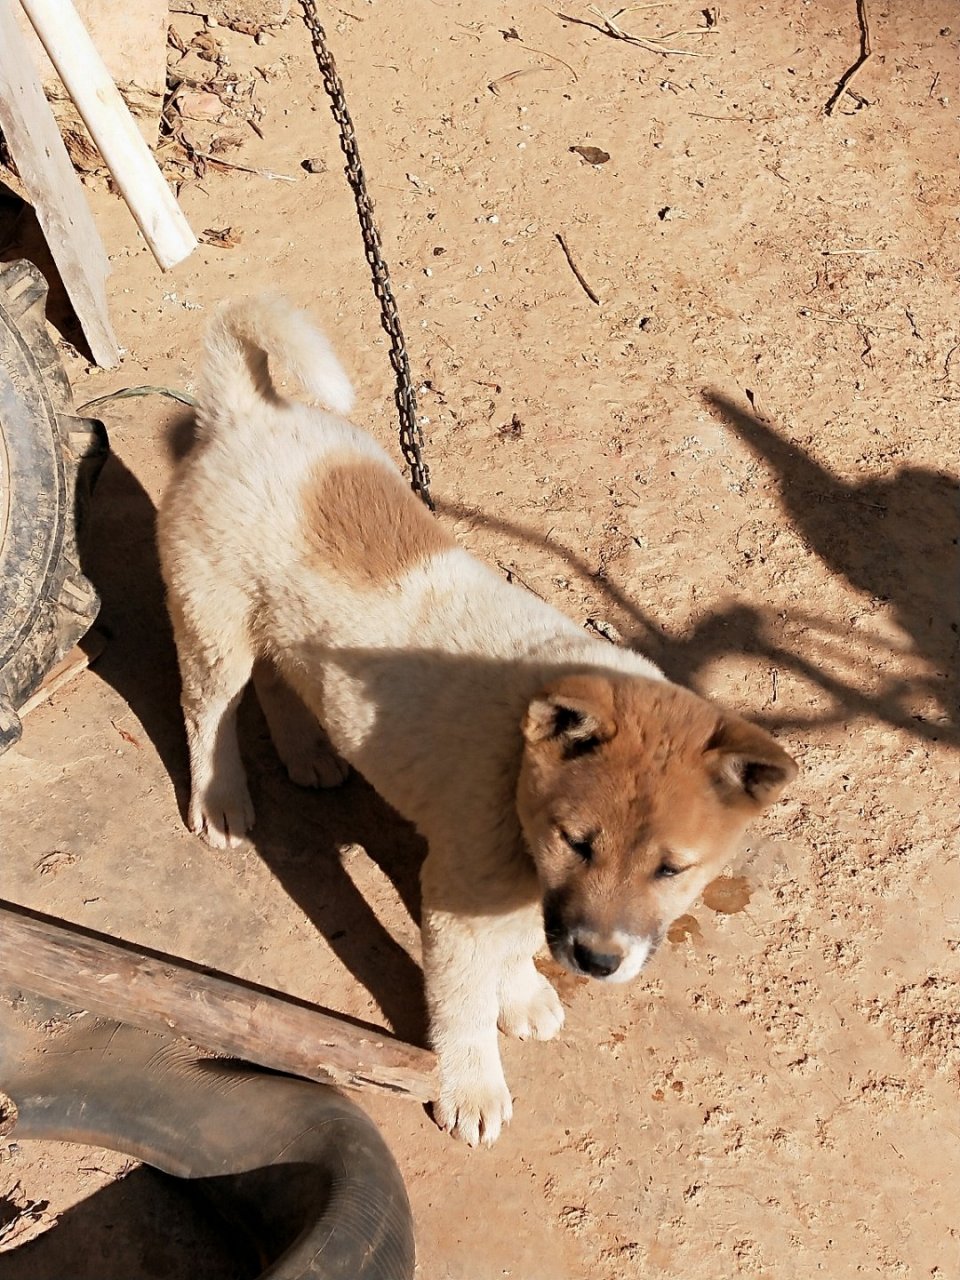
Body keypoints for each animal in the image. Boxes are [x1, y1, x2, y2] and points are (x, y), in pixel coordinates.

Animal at [158, 296, 798, 1152]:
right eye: (578, 842)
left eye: (672, 870)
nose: (598, 961)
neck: (513, 755)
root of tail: (244, 409)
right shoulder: (461, 894)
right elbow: (460, 1004)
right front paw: (471, 1087)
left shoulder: (513, 891)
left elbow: (517, 948)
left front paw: (520, 994)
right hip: (213, 621)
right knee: (209, 708)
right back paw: (222, 799)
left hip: (277, 621)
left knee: (276, 683)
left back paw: (308, 753)